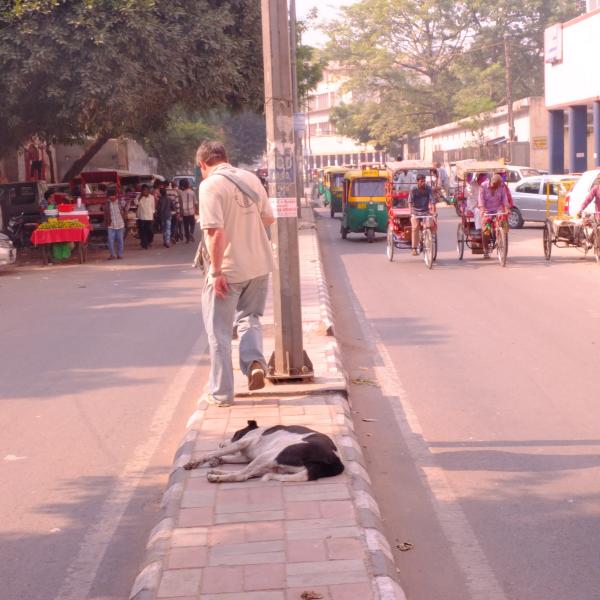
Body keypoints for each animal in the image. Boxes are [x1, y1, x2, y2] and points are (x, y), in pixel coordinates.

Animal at [183, 422, 344, 482]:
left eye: (235, 434)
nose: (221, 443)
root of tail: (336, 461)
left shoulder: (242, 443)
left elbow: (214, 453)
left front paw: (195, 462)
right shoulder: (246, 456)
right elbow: (227, 456)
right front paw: (217, 461)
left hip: (268, 456)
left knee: (241, 476)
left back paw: (217, 477)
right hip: (273, 466)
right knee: (246, 473)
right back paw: (217, 472)